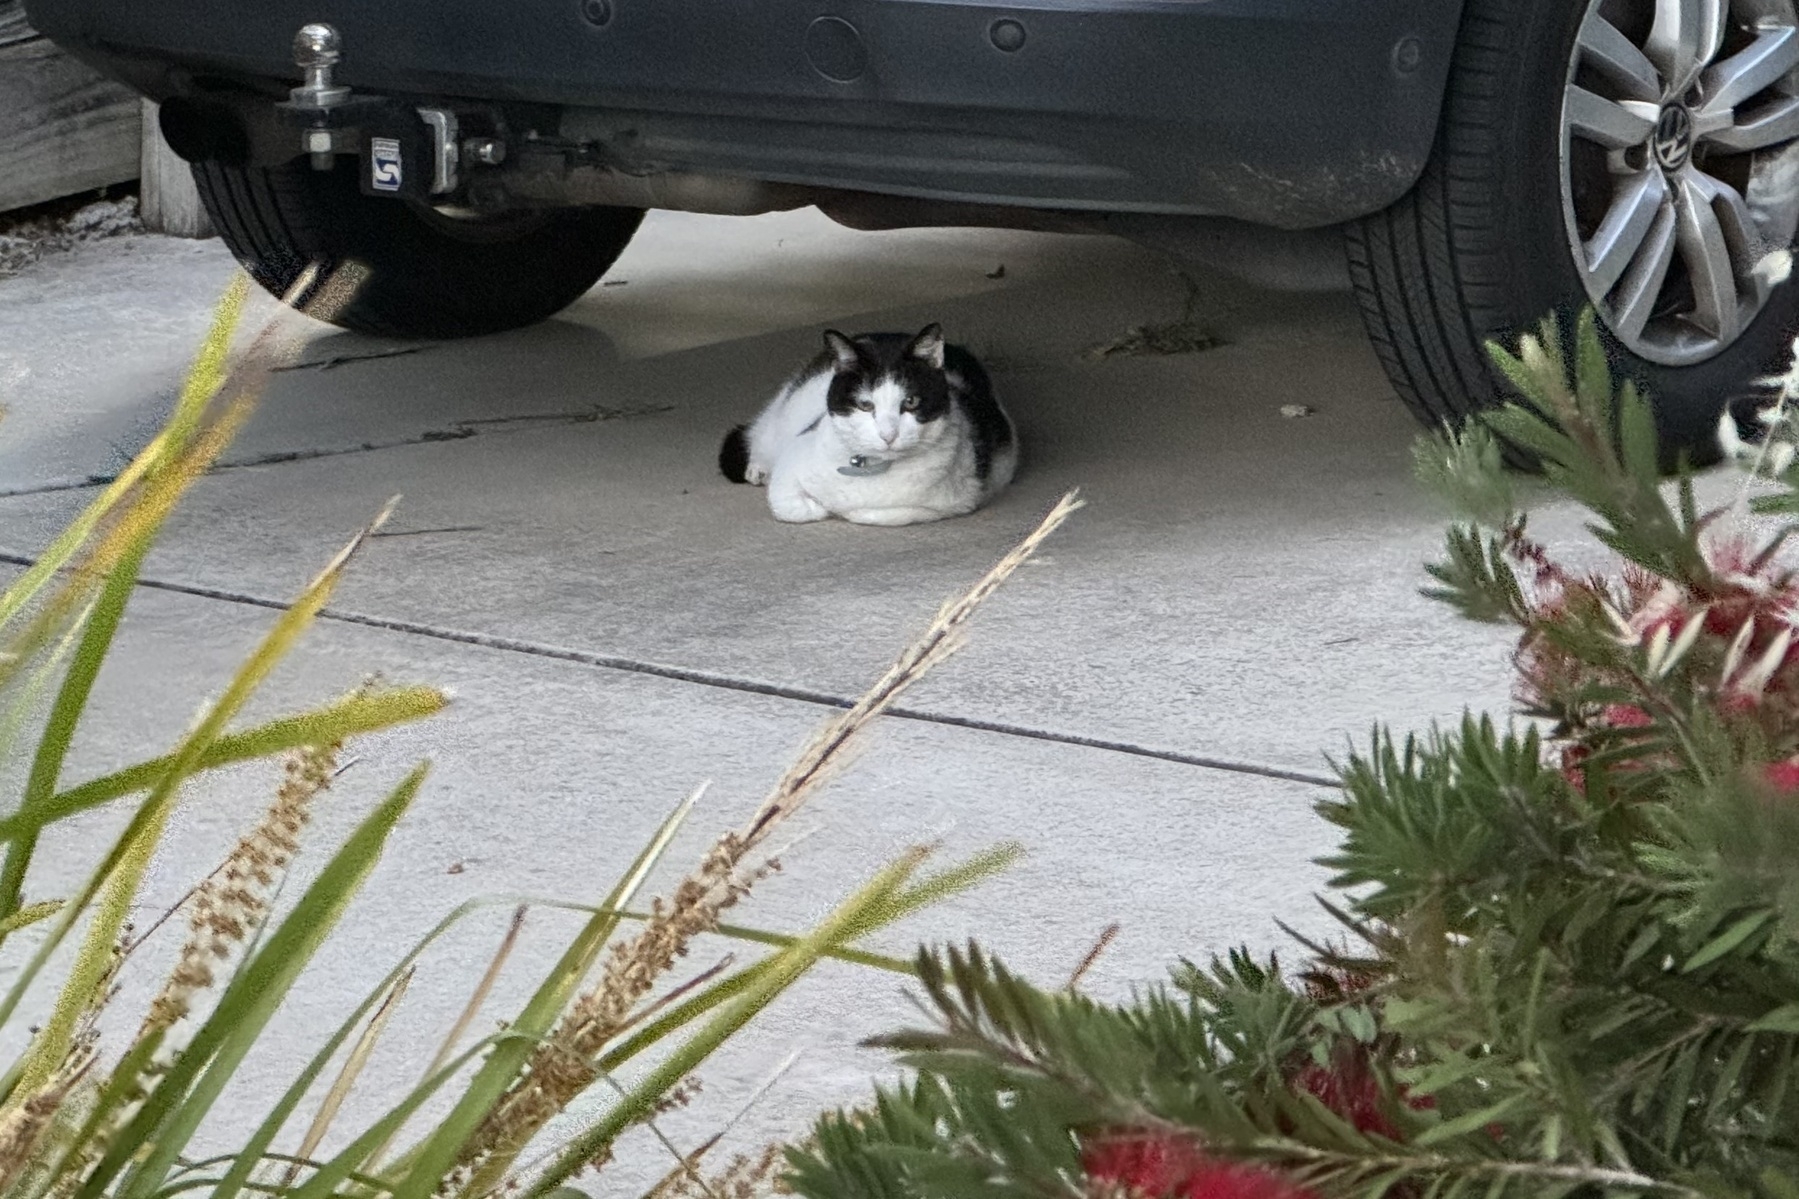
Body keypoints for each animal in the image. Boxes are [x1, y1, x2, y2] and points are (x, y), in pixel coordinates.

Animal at [723, 322, 1021, 522]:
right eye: (865, 405)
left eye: (911, 402)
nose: (888, 435)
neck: (868, 469)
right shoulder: (794, 456)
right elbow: (784, 502)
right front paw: (817, 506)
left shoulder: (951, 503)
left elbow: (872, 513)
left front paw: (834, 508)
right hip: (792, 407)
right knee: (763, 430)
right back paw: (758, 468)